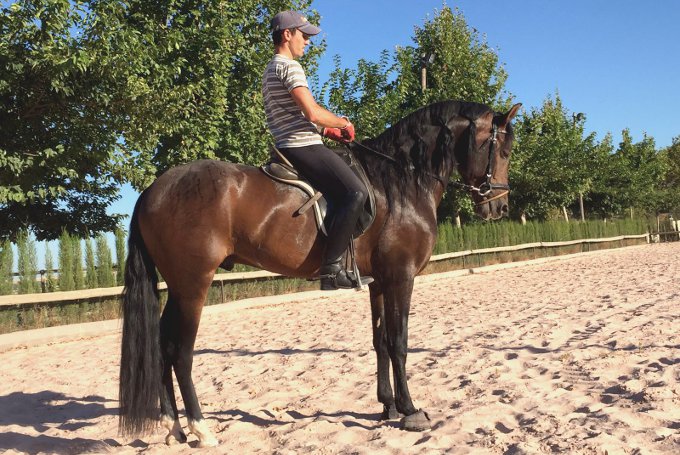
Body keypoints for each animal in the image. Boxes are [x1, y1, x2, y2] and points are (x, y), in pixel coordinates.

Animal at [118, 100, 520, 448]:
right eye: (502, 151)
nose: (498, 207)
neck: (399, 183)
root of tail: (153, 190)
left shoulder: (379, 282)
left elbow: (381, 342)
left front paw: (387, 406)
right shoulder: (401, 277)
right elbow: (400, 342)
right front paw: (409, 411)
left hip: (177, 287)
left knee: (162, 346)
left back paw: (174, 427)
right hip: (192, 285)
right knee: (180, 351)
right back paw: (201, 429)